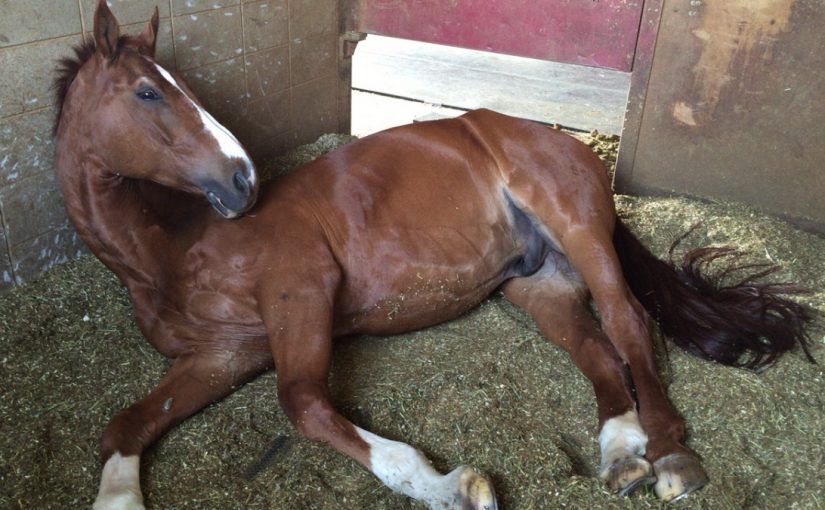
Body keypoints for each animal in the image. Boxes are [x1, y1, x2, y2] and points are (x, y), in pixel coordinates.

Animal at [54, 2, 814, 509]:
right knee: (598, 351)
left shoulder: (301, 293)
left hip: (578, 230)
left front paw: (446, 485)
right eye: (146, 91)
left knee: (628, 321)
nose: (241, 180)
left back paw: (670, 455)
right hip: (538, 282)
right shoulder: (223, 355)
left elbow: (304, 405)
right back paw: (621, 454)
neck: (170, 252)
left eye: (176, 85)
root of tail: (556, 138)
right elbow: (124, 427)